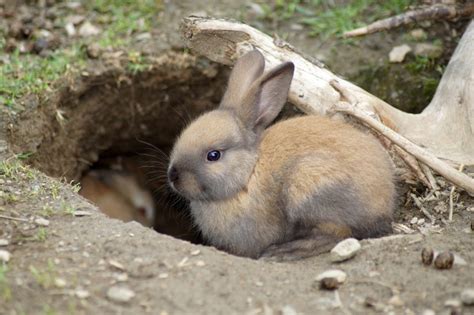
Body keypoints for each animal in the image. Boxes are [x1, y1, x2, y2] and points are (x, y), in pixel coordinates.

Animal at [165, 50, 394, 262]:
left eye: (213, 155)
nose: (173, 175)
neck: (248, 175)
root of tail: (385, 202)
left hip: (308, 186)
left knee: (339, 234)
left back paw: (285, 251)